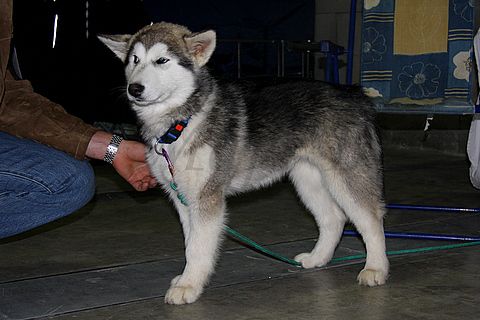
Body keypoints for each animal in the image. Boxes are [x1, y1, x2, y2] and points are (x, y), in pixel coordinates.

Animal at [99, 21, 388, 304]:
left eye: (161, 60)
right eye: (135, 60)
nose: (134, 89)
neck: (183, 122)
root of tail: (354, 94)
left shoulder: (207, 198)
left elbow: (198, 247)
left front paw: (189, 285)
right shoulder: (183, 198)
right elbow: (190, 242)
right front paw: (187, 278)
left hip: (347, 178)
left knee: (371, 220)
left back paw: (376, 267)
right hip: (307, 179)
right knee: (333, 218)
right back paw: (318, 258)